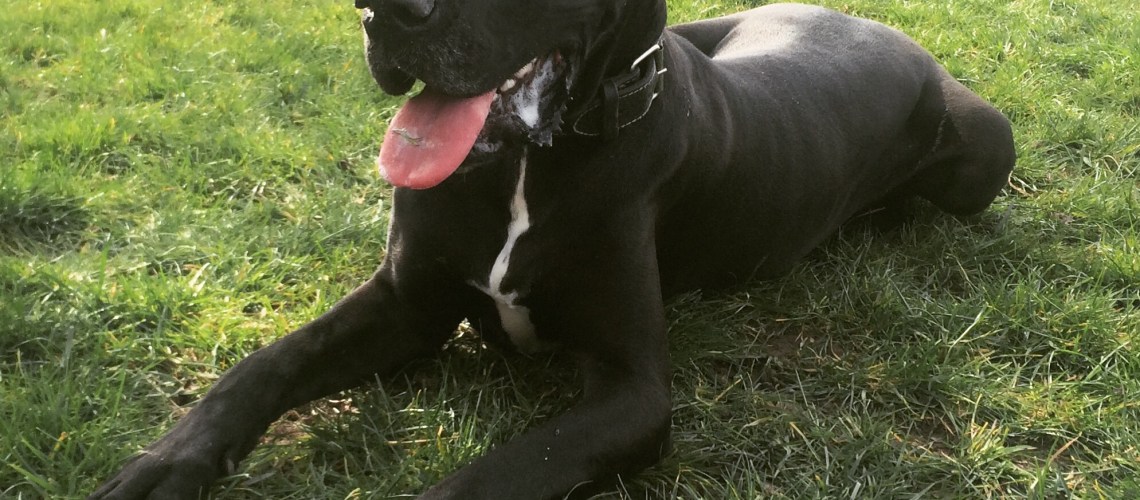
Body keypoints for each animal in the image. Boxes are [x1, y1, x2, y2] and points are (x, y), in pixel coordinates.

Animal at [90, 1, 1015, 498]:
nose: (386, 13)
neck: (525, 162)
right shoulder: (405, 304)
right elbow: (266, 365)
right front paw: (164, 461)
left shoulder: (633, 392)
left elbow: (488, 477)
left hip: (985, 152)